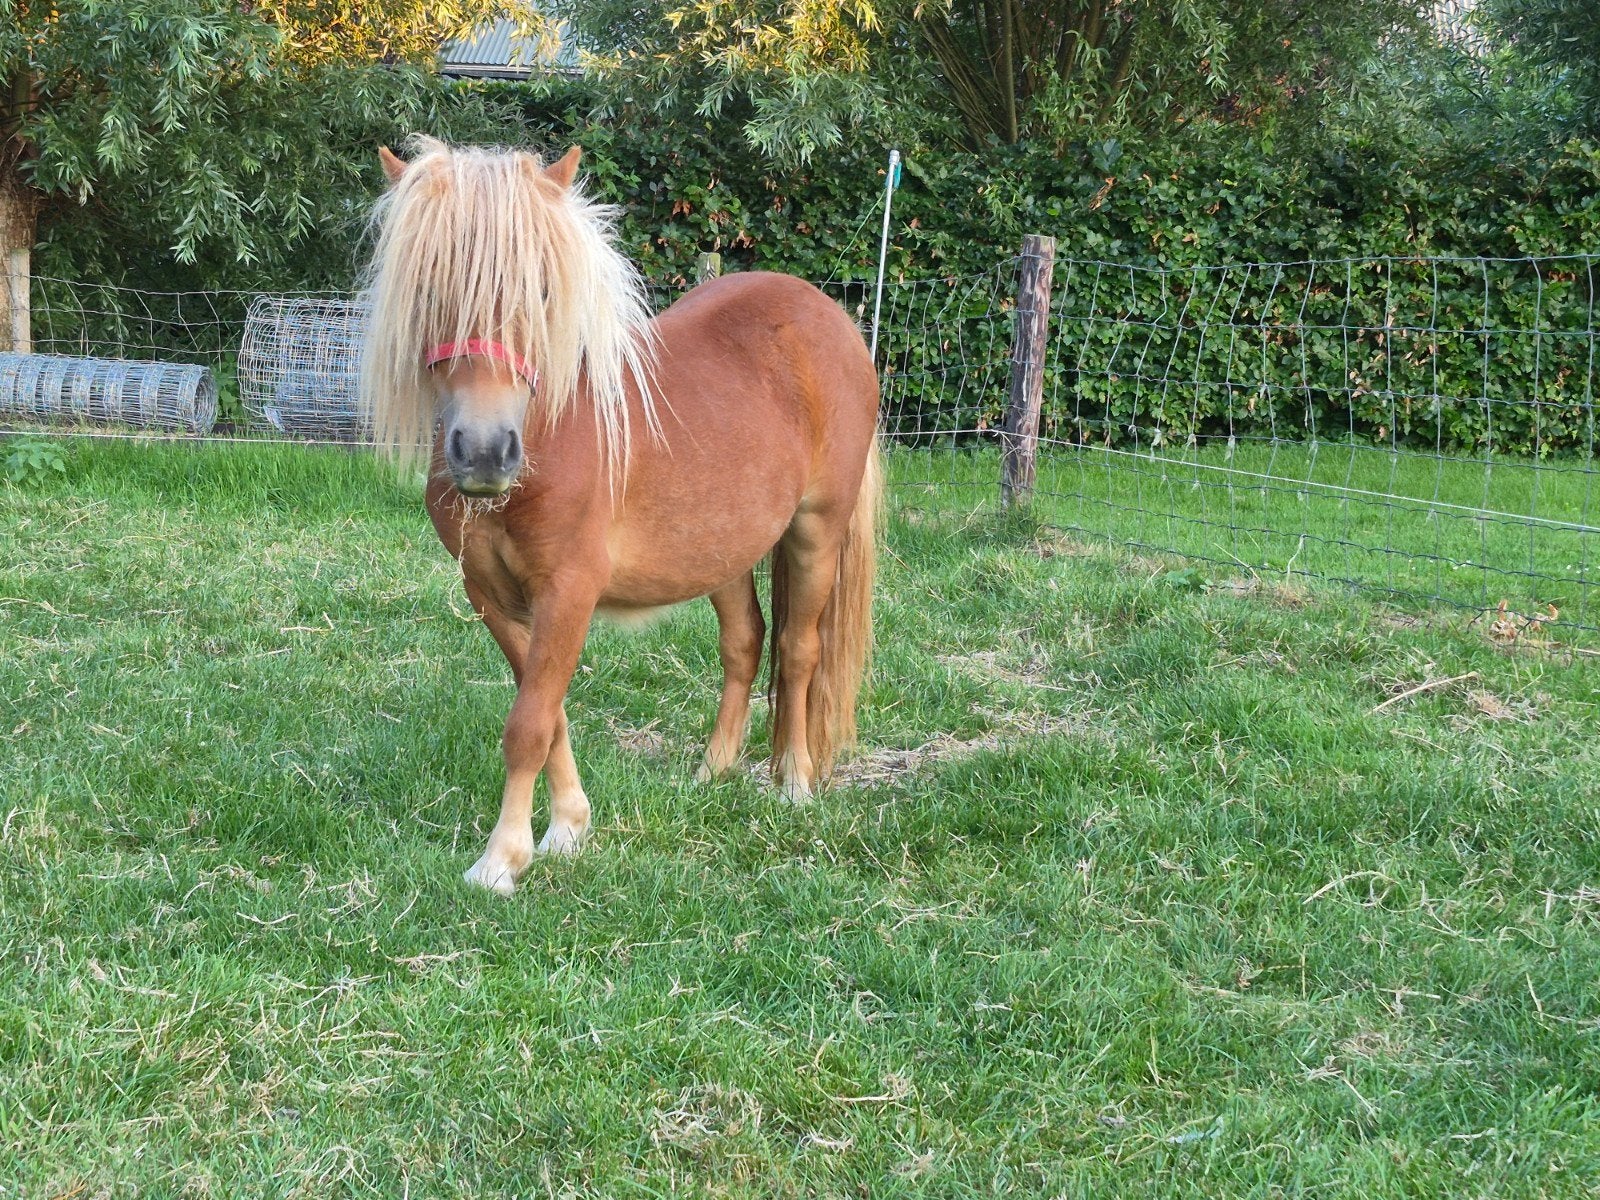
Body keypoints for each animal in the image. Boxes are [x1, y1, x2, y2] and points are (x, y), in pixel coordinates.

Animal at [360, 138, 881, 895]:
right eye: (429, 289)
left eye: (543, 292)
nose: (484, 452)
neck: (551, 434)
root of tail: (826, 313)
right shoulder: (493, 596)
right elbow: (547, 714)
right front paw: (568, 827)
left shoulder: (568, 591)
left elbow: (528, 724)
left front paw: (501, 859)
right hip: (719, 548)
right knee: (745, 641)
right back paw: (712, 772)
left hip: (816, 531)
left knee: (799, 649)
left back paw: (792, 784)